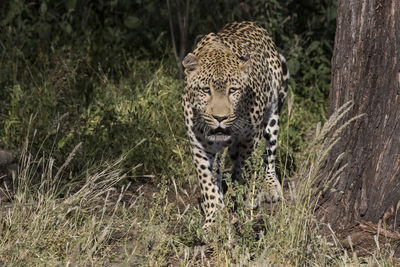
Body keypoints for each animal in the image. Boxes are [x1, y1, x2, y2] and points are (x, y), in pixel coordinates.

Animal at [182, 21, 290, 228]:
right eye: (206, 90)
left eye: (233, 90)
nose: (220, 117)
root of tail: (251, 23)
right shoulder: (199, 144)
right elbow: (207, 182)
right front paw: (214, 218)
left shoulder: (250, 137)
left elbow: (244, 166)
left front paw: (242, 194)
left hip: (272, 115)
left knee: (269, 154)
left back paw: (269, 186)